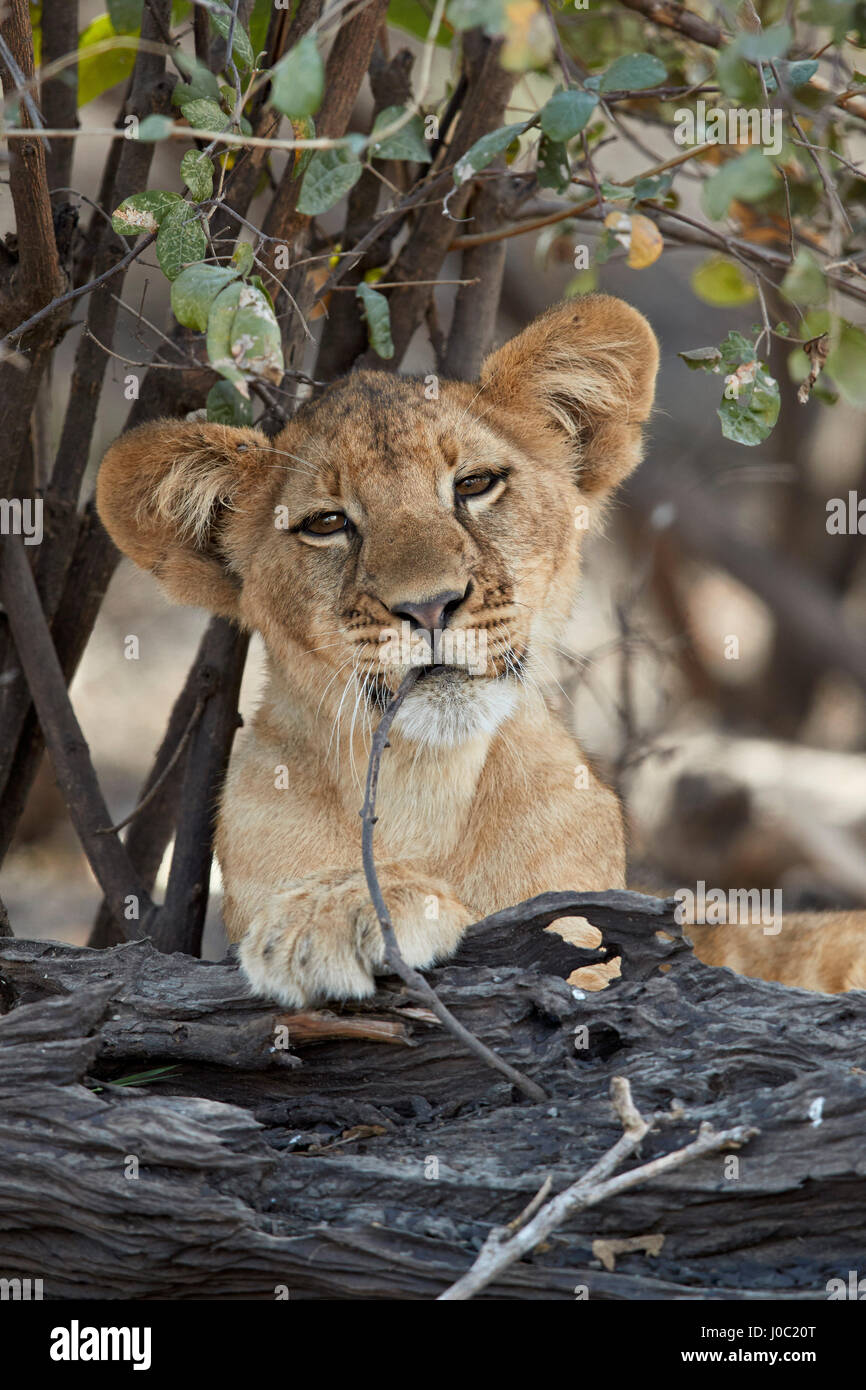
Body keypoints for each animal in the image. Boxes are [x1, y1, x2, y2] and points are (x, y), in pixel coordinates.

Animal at [96, 296, 866, 1002]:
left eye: (473, 484)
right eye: (326, 524)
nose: (429, 605)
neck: (422, 782)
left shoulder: (603, 945)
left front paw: (356, 907)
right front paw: (337, 907)